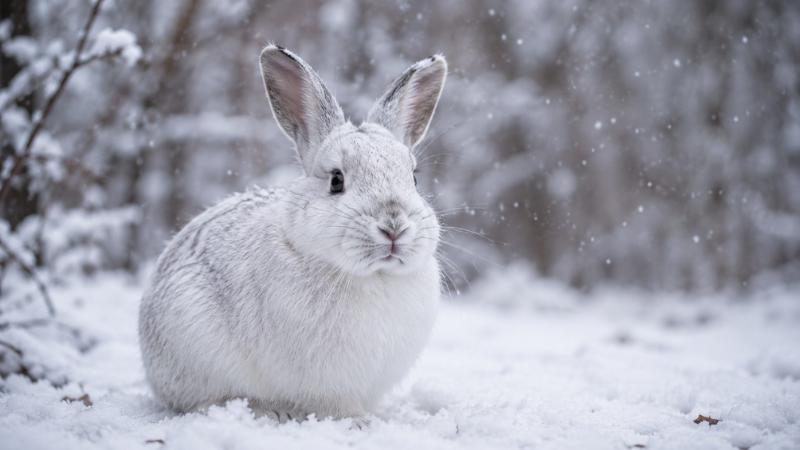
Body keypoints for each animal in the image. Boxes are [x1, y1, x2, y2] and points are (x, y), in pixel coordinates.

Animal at [138, 45, 447, 421]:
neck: (375, 276)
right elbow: (337, 406)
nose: (394, 226)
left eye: (414, 178)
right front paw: (359, 423)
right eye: (336, 180)